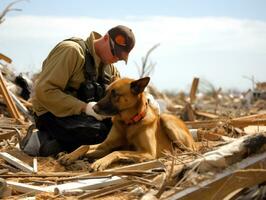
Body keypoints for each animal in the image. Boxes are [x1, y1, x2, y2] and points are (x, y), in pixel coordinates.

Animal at [59, 77, 196, 171]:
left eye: (115, 94)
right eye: (106, 92)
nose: (93, 108)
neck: (128, 124)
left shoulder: (148, 152)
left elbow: (117, 151)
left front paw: (100, 162)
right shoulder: (105, 146)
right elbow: (85, 145)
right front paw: (70, 156)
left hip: (167, 119)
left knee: (189, 150)